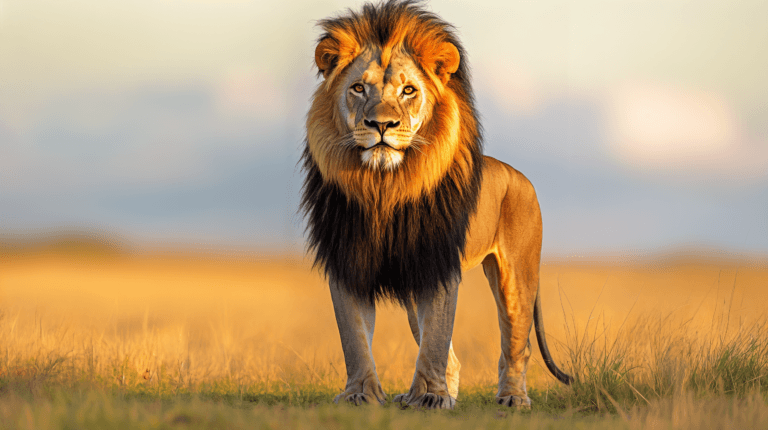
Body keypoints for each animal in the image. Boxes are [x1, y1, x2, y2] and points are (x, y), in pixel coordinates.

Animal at [300, 0, 568, 410]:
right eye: (358, 88)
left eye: (408, 90)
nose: (381, 125)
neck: (384, 187)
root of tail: (521, 176)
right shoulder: (348, 260)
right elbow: (354, 338)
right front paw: (360, 394)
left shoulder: (437, 262)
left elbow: (437, 338)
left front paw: (429, 396)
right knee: (454, 357)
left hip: (517, 277)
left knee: (516, 344)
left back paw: (513, 398)